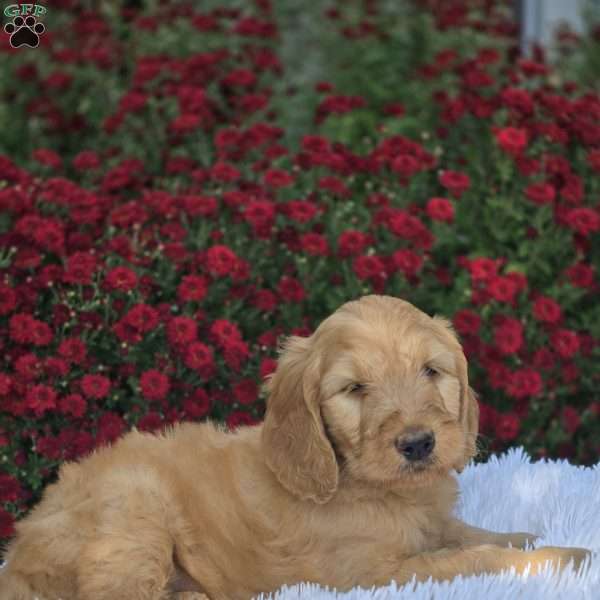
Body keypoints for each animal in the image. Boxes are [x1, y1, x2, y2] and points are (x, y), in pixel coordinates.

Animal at [0, 296, 592, 600]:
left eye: (431, 370)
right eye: (354, 389)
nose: (419, 443)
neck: (367, 485)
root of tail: (19, 551)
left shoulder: (430, 524)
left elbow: (471, 534)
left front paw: (528, 536)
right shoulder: (371, 573)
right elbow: (470, 557)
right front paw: (563, 556)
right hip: (131, 513)